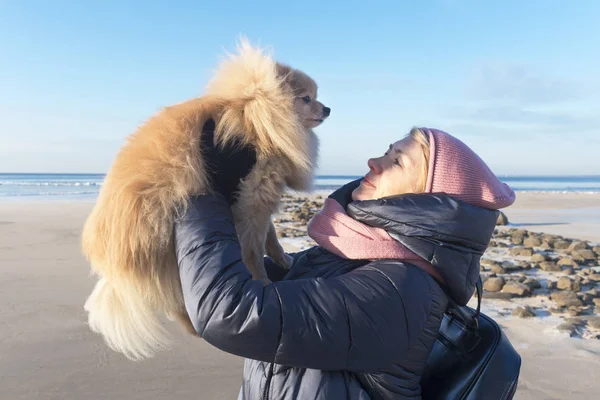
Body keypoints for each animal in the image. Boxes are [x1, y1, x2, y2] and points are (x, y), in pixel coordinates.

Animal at [81, 39, 328, 360]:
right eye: (307, 99)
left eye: (316, 98)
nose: (328, 108)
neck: (257, 117)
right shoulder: (253, 196)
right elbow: (254, 249)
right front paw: (263, 281)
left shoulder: (253, 202)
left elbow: (270, 234)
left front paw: (283, 258)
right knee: (175, 304)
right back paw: (195, 328)